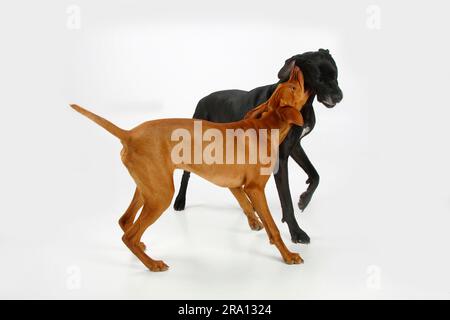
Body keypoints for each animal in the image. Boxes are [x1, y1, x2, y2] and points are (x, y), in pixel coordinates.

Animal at [71, 66, 310, 272]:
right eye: (293, 87)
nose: (296, 68)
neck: (264, 127)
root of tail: (129, 134)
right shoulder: (255, 188)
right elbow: (274, 227)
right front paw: (288, 255)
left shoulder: (235, 185)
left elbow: (246, 206)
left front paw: (255, 223)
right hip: (161, 195)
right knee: (128, 236)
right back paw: (153, 264)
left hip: (147, 189)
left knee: (125, 221)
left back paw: (141, 246)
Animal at [174, 48, 342, 242]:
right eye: (319, 78)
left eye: (336, 75)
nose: (339, 97)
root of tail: (202, 99)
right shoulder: (280, 158)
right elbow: (286, 199)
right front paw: (296, 232)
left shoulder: (294, 147)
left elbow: (315, 175)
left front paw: (304, 200)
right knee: (186, 174)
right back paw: (180, 201)